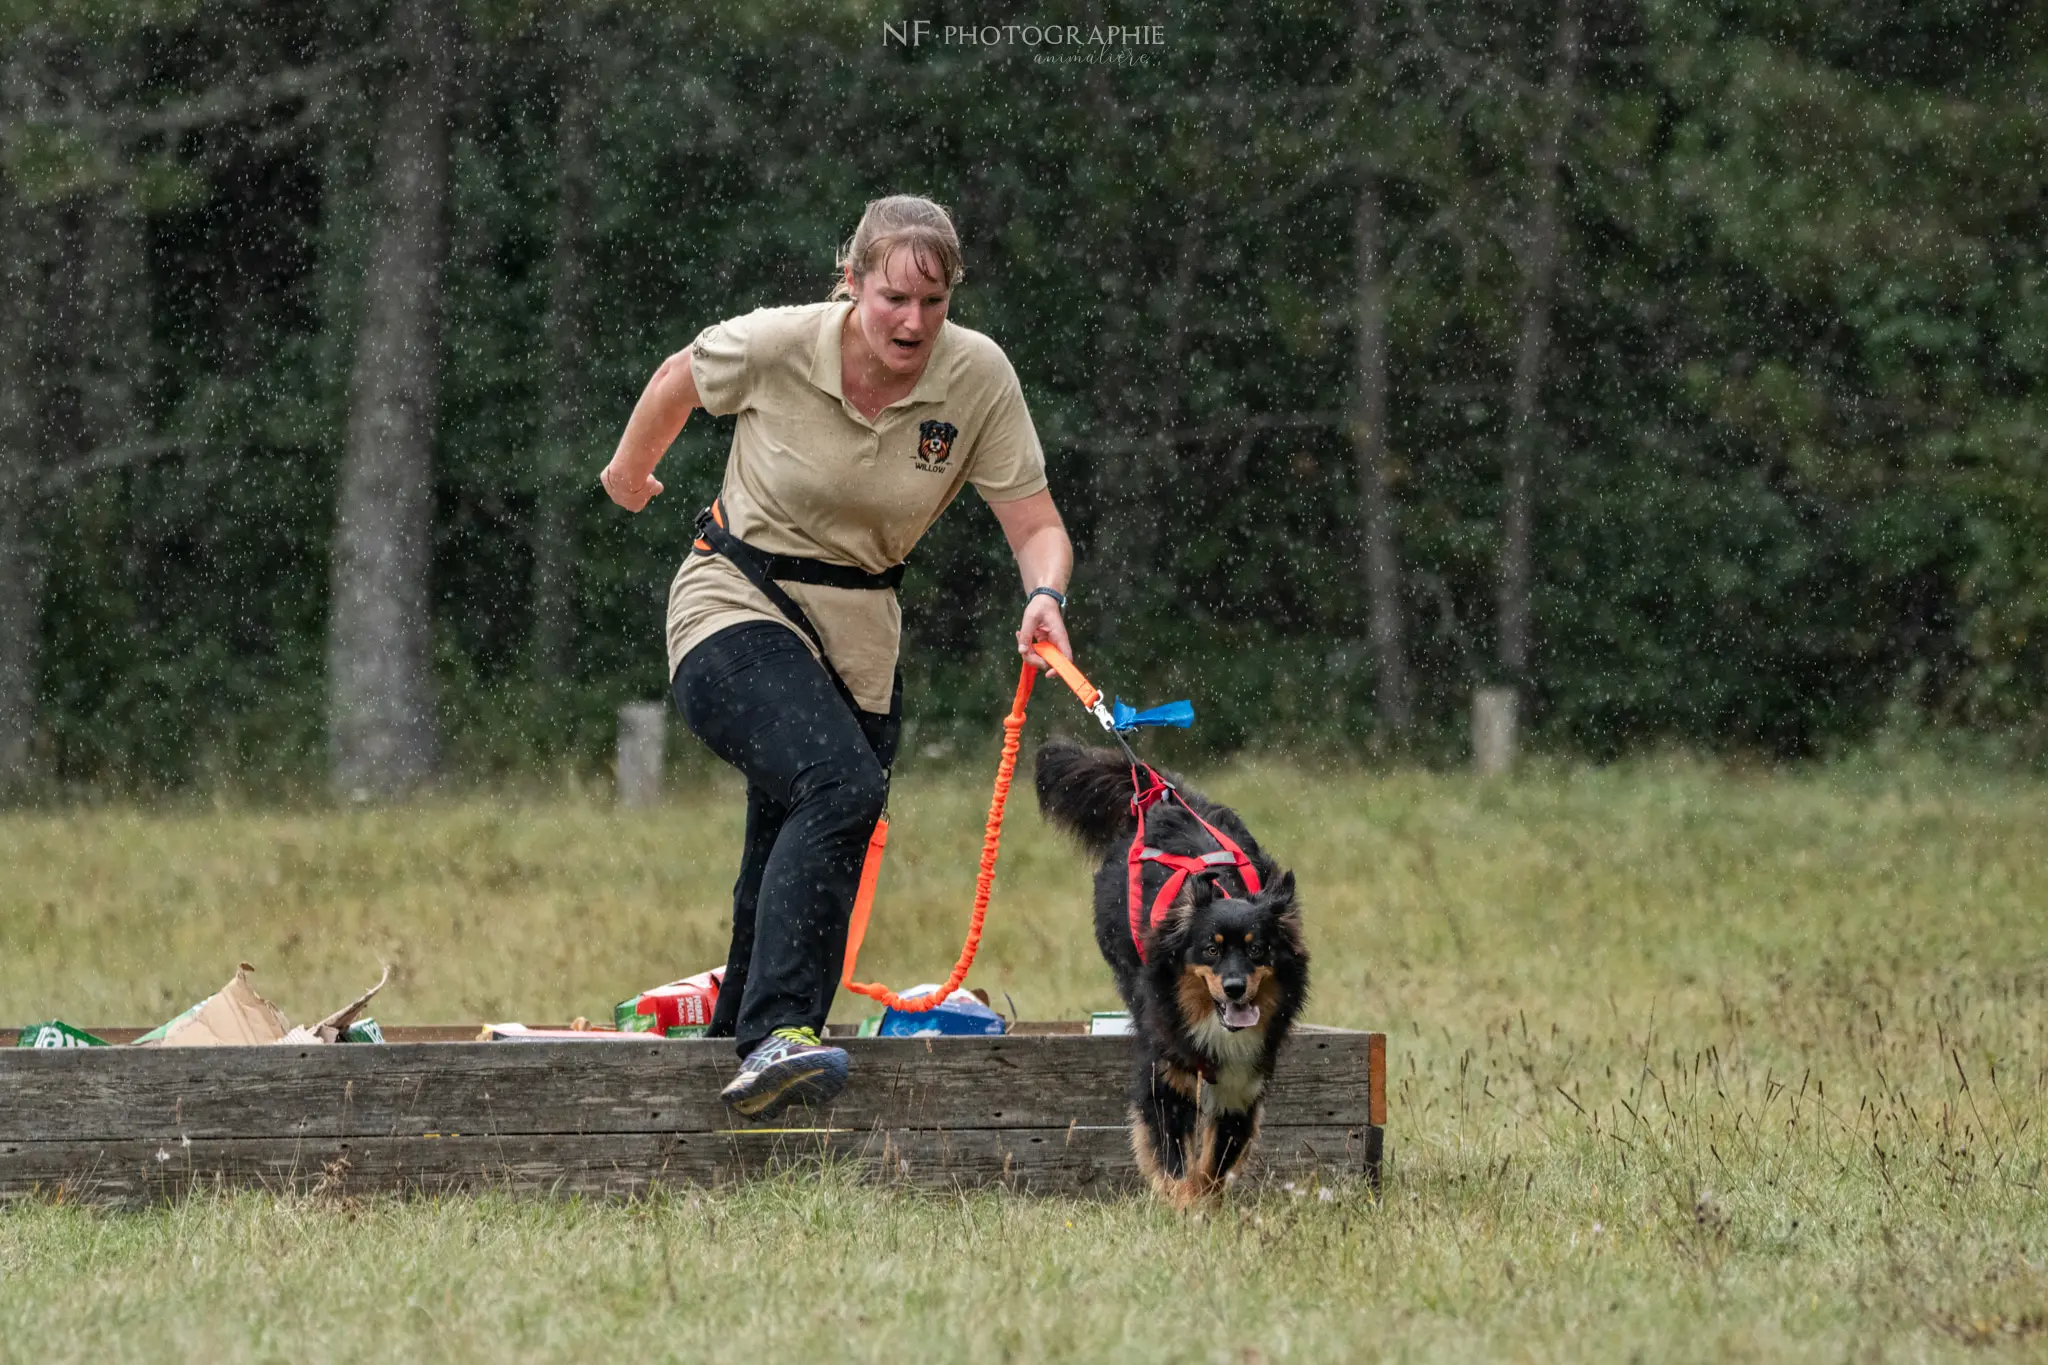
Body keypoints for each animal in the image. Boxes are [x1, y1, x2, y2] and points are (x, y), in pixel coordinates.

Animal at [1040, 740, 1310, 1203]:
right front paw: (1183, 1205)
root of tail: (1158, 799)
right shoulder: (1166, 1078)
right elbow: (1175, 1161)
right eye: (1210, 950)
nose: (1235, 988)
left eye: (1258, 949)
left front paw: (1205, 1202)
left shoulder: (1241, 1085)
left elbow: (1213, 1163)